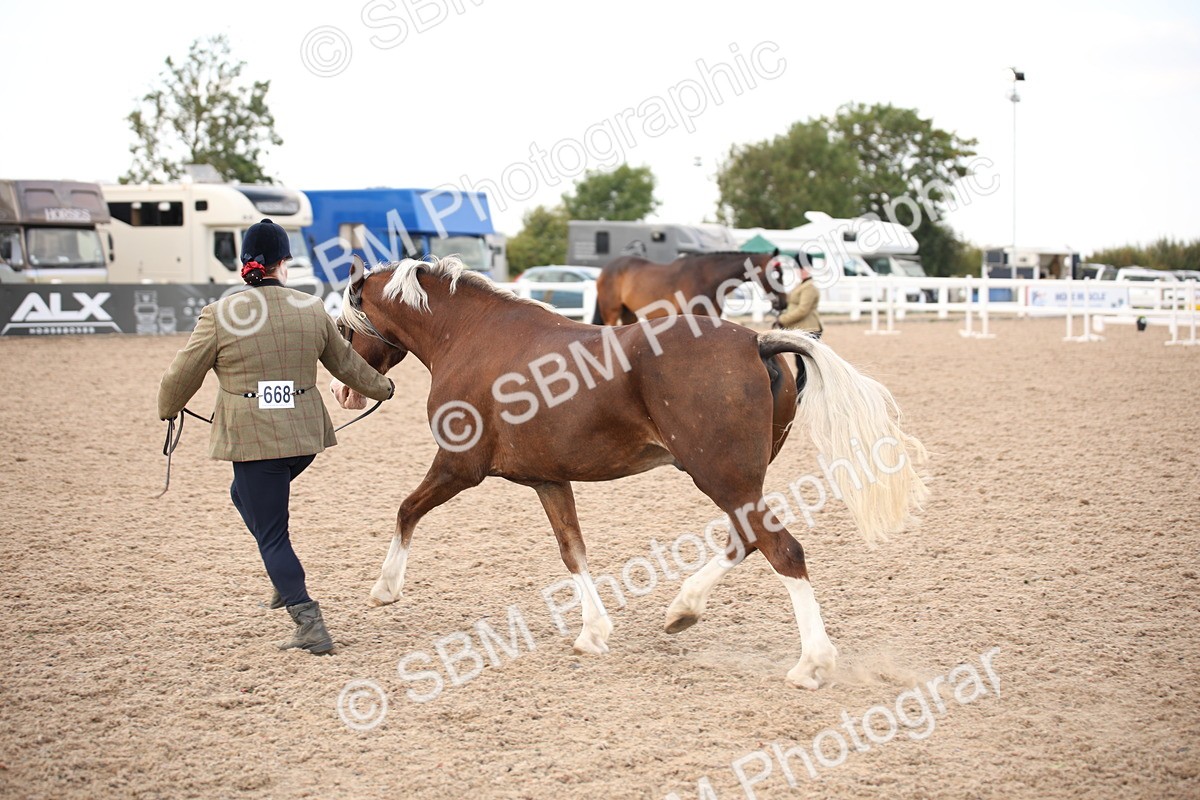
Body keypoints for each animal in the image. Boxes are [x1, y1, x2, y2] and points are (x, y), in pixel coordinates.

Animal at [591, 250, 789, 326]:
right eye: (776, 274)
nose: (783, 304)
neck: (707, 279)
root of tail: (604, 270)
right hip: (611, 313)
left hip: (629, 314)